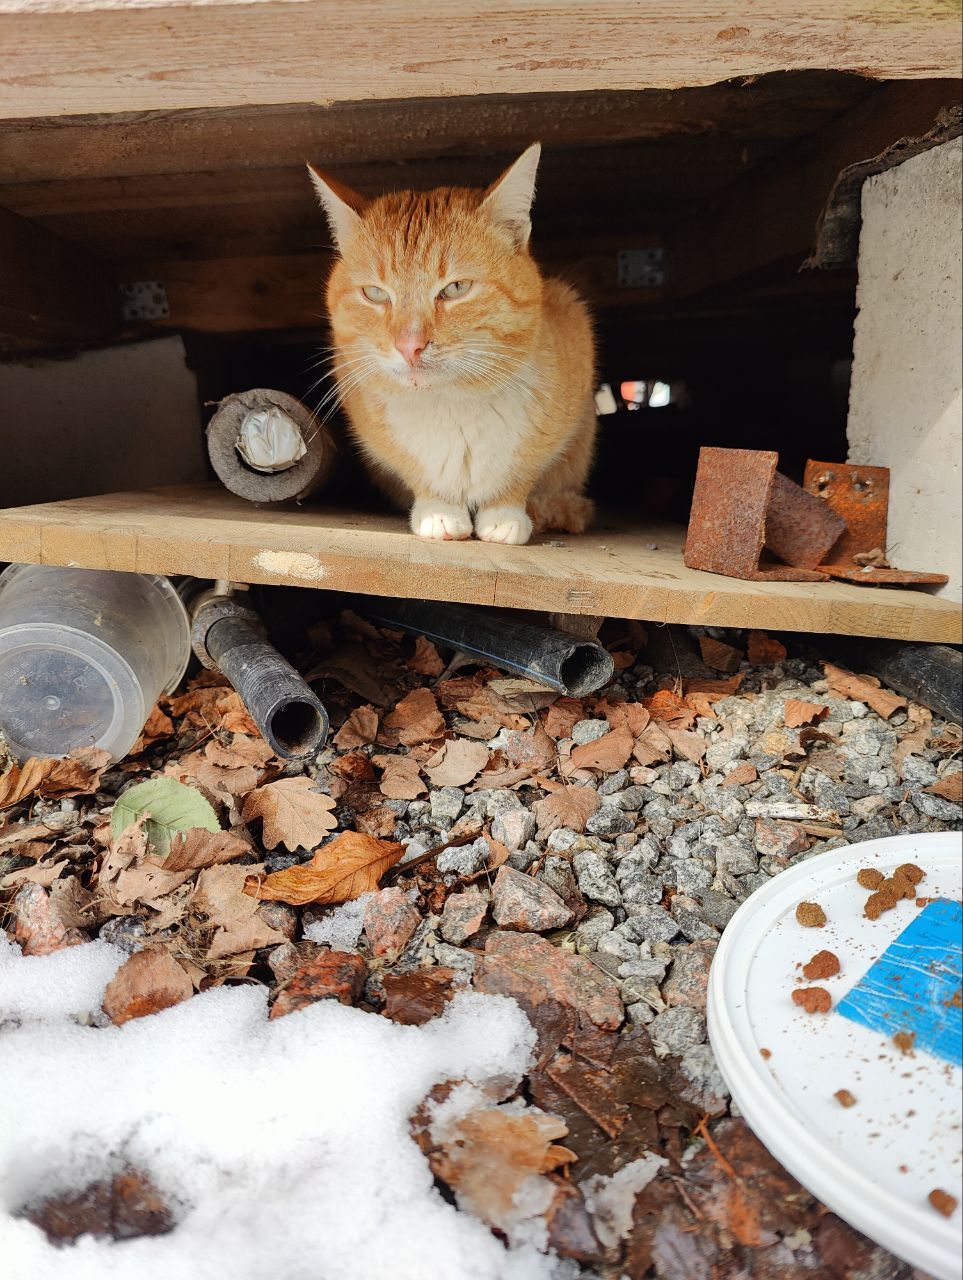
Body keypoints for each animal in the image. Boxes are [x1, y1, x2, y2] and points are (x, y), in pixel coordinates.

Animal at [308, 145, 594, 545]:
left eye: (456, 288)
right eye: (375, 294)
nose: (409, 345)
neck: (451, 406)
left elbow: (522, 473)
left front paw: (505, 514)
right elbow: (422, 479)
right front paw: (438, 510)